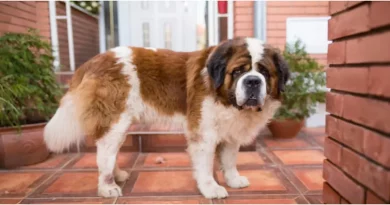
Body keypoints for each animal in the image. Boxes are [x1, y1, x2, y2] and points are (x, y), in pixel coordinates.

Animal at [45, 36, 290, 199]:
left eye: (264, 72)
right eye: (238, 71)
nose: (253, 81)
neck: (223, 96)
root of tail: (92, 61)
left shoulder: (231, 133)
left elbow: (229, 160)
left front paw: (233, 180)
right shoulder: (203, 134)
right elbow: (205, 166)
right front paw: (211, 189)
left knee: (108, 152)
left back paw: (118, 175)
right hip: (116, 121)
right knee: (104, 154)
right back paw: (107, 187)